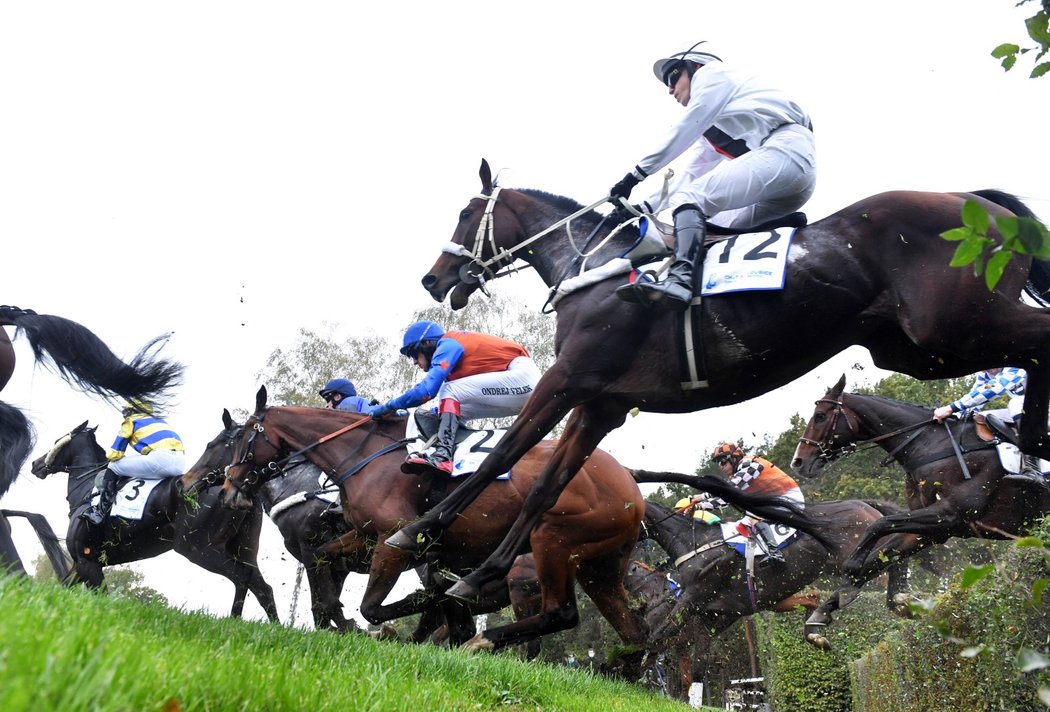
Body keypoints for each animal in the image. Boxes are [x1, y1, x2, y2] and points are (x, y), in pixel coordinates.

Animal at [31, 422, 279, 621]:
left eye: (57, 441)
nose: (36, 463)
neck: (88, 491)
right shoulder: (81, 564)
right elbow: (63, 586)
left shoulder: (88, 561)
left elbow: (100, 595)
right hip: (244, 549)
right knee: (263, 587)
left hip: (197, 548)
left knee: (242, 577)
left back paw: (233, 623)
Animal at [386, 158, 1050, 604]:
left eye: (466, 213)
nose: (431, 278)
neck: (594, 265)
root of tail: (978, 200)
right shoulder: (601, 404)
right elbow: (545, 487)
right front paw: (480, 573)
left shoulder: (568, 379)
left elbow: (505, 454)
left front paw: (419, 531)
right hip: (917, 349)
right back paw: (1029, 443)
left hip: (955, 325)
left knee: (1038, 344)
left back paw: (1027, 440)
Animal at [789, 375, 1050, 651]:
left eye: (820, 416)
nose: (798, 462)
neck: (930, 446)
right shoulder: (933, 530)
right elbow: (881, 554)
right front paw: (825, 611)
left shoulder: (949, 514)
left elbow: (878, 525)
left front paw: (851, 571)